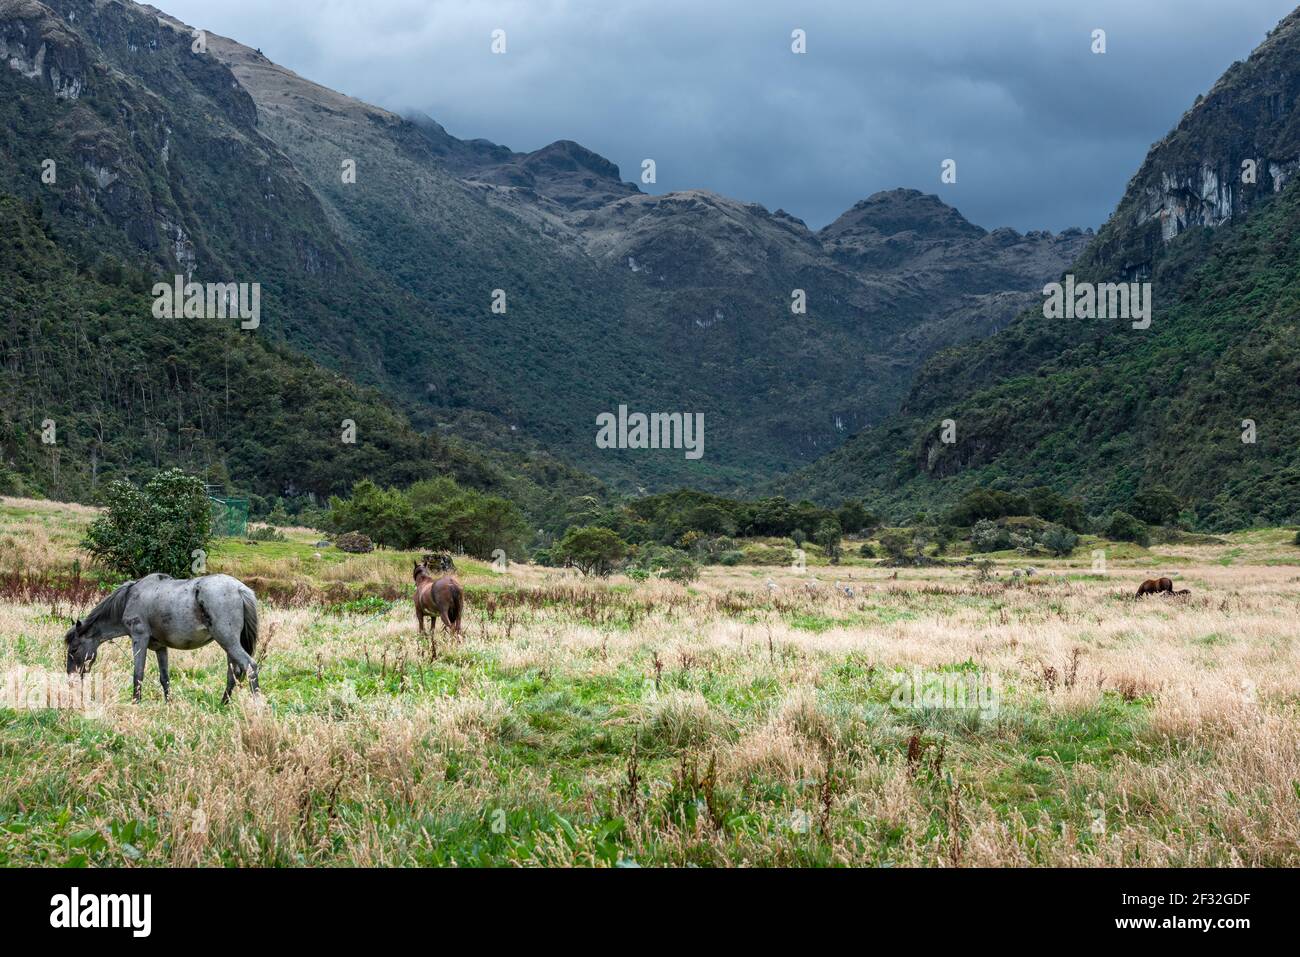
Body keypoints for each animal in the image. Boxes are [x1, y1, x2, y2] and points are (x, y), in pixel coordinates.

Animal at [64, 572, 260, 707]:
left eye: (74, 649)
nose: (71, 678)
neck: (129, 598)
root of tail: (240, 589)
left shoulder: (139, 639)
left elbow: (138, 674)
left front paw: (135, 703)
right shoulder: (160, 647)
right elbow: (164, 677)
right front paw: (169, 703)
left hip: (228, 641)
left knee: (250, 667)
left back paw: (257, 705)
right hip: (229, 645)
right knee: (234, 673)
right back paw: (223, 704)